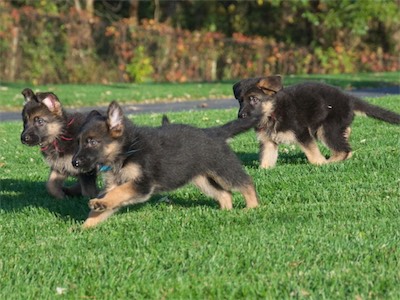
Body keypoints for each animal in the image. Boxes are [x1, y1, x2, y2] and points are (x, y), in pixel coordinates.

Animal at [72, 101, 260, 227]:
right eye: (79, 142)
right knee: (225, 194)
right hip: (202, 179)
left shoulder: (142, 184)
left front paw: (96, 208)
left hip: (223, 169)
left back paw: (252, 207)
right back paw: (225, 213)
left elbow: (120, 192)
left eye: (92, 142)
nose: (74, 163)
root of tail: (214, 132)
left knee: (246, 182)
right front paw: (85, 227)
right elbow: (107, 202)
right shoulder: (113, 184)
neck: (127, 151)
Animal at [231, 75, 400, 169]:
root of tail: (349, 99)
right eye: (240, 101)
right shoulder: (268, 142)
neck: (273, 112)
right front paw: (263, 170)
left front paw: (320, 163)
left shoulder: (301, 132)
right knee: (346, 142)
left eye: (253, 99)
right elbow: (266, 158)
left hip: (326, 129)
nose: (240, 116)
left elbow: (312, 153)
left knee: (344, 150)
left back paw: (329, 162)